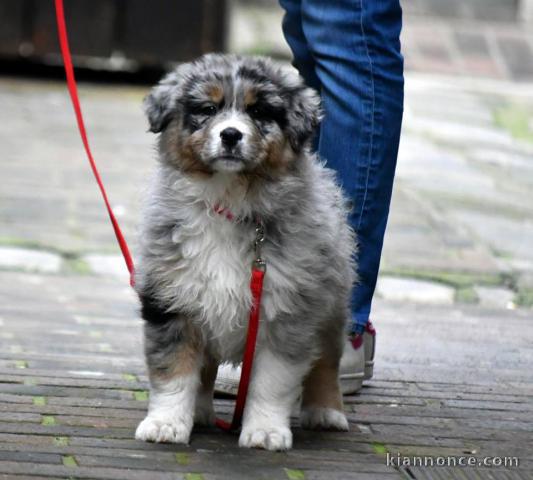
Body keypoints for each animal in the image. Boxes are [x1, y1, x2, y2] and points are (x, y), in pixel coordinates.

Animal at [135, 53, 356, 450]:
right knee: (205, 369)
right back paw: (200, 411)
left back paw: (326, 412)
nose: (230, 134)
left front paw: (265, 431)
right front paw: (166, 423)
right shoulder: (172, 301)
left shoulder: (288, 312)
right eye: (208, 109)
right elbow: (174, 371)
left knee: (326, 364)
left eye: (258, 112)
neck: (230, 199)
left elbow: (272, 381)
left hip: (331, 308)